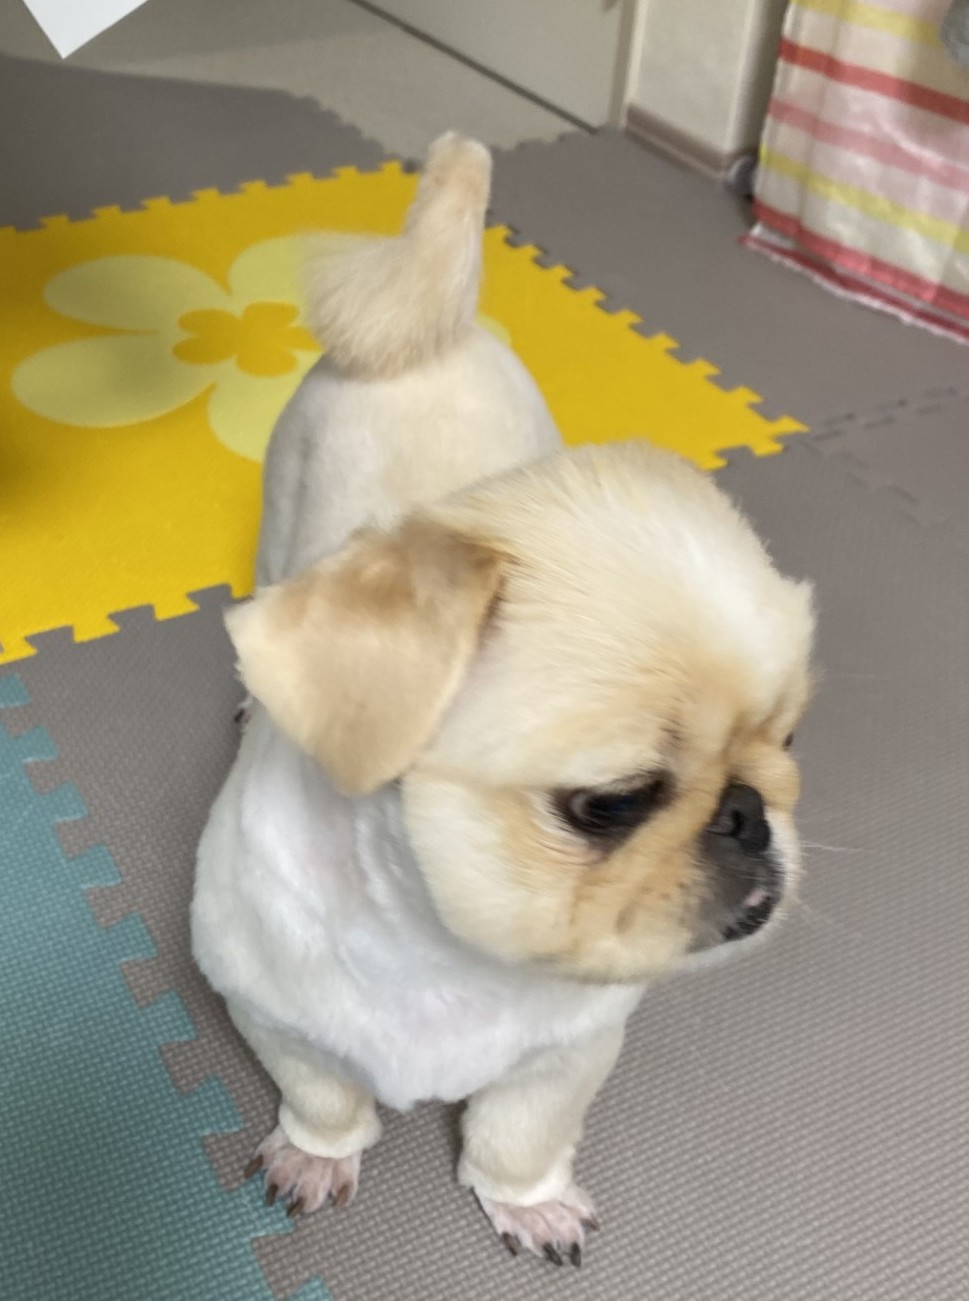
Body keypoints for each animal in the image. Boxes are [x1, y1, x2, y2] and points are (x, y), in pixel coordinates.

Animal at [192, 133, 815, 1268]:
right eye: (610, 802)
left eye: (786, 739)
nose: (751, 812)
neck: (440, 950)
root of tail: (430, 333)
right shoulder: (270, 1012)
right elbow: (324, 1095)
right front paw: (317, 1151)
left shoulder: (570, 1050)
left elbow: (520, 1131)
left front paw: (526, 1200)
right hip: (274, 522)